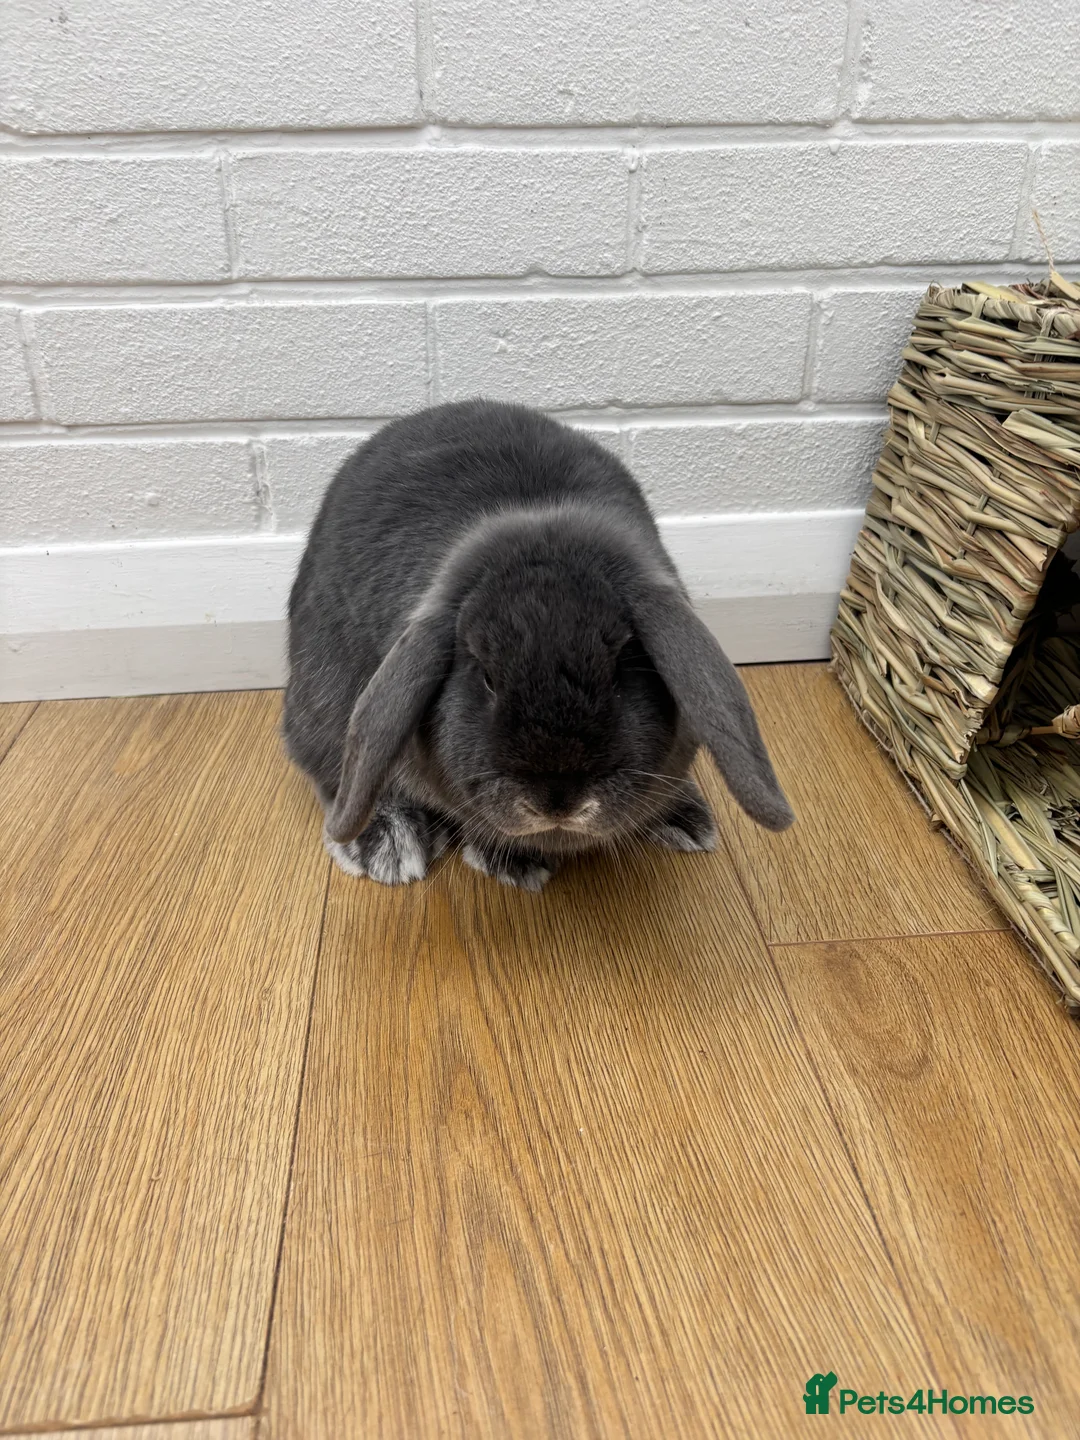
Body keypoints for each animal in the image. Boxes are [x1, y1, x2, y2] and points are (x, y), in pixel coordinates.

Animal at [282, 399, 793, 891]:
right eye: (488, 678)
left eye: (619, 672)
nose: (557, 801)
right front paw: (514, 862)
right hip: (325, 704)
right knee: (334, 770)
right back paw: (387, 844)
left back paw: (686, 817)